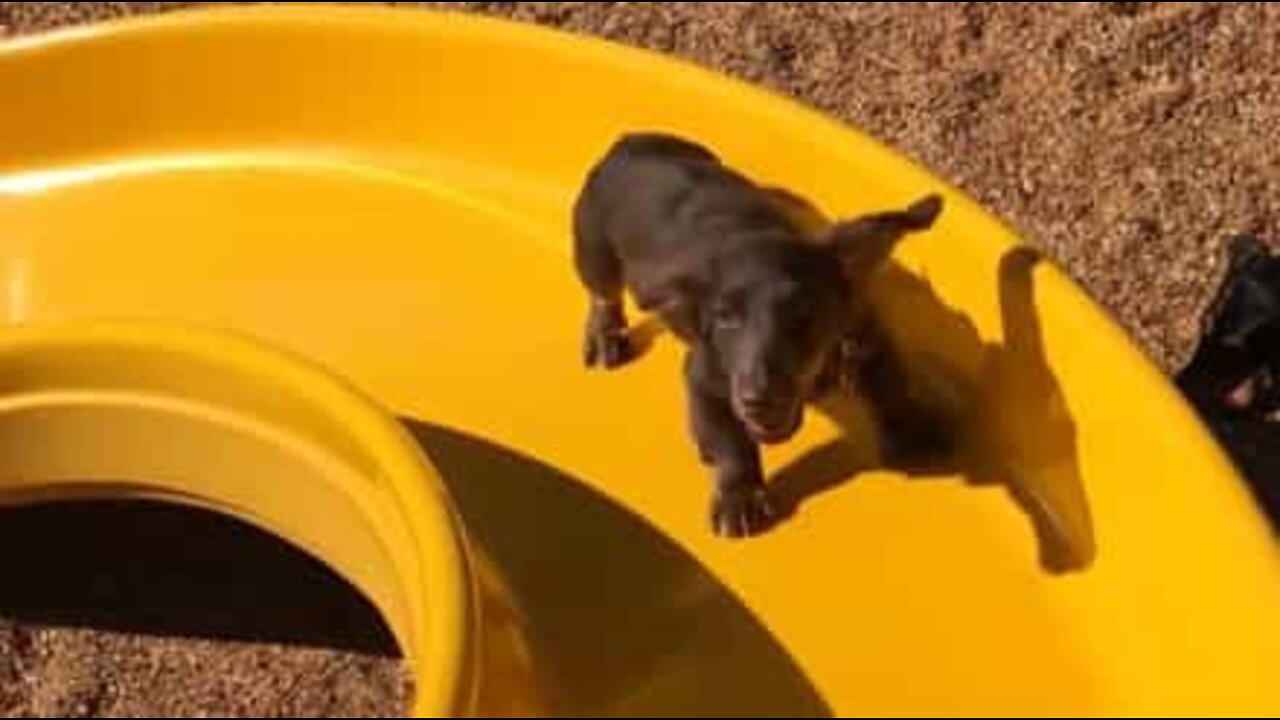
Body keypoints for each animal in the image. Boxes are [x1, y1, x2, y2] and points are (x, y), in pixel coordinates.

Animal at [576, 133, 947, 538]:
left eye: (804, 312)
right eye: (724, 317)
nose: (758, 400)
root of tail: (628, 142)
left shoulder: (864, 335)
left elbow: (891, 383)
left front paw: (912, 427)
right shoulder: (703, 377)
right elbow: (730, 440)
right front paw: (740, 495)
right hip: (595, 252)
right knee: (604, 295)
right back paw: (605, 335)